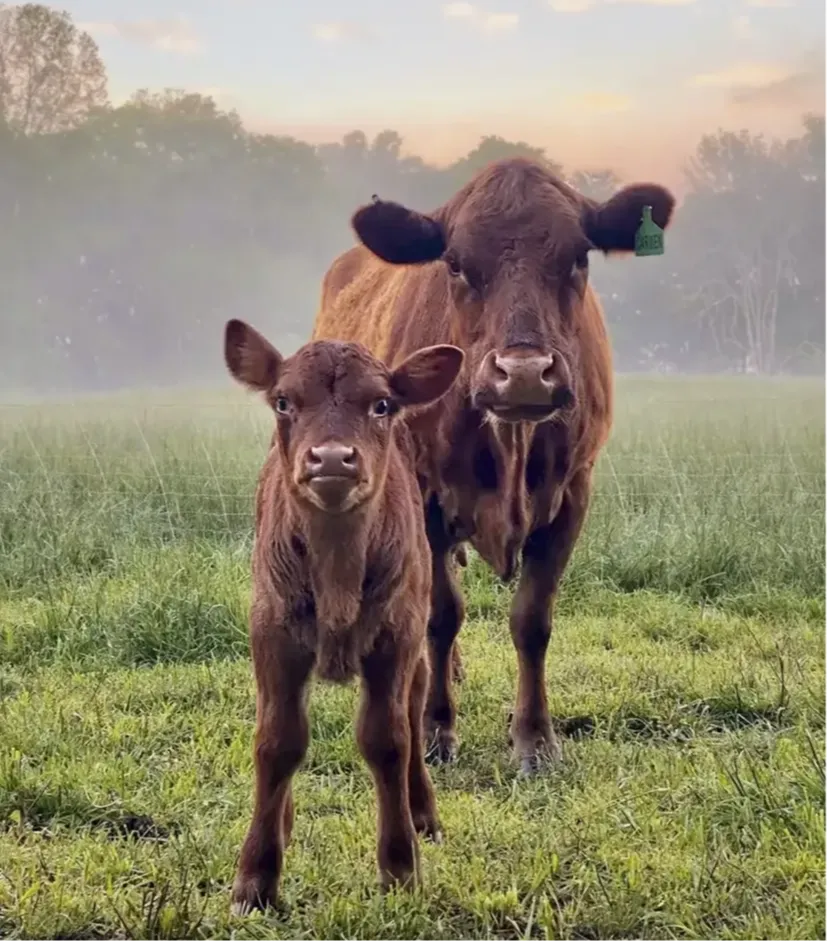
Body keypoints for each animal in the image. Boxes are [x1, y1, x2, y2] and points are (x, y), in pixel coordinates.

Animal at [223, 319, 464, 913]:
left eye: (381, 404)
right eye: (283, 401)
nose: (331, 459)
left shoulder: (397, 635)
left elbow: (389, 739)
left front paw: (400, 867)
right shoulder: (272, 632)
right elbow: (277, 741)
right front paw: (255, 878)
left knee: (414, 710)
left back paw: (422, 812)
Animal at [311, 157, 676, 774]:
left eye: (578, 257)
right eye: (455, 263)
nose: (524, 374)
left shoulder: (573, 493)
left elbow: (532, 620)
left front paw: (535, 740)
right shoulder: (427, 494)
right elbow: (441, 613)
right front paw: (436, 729)